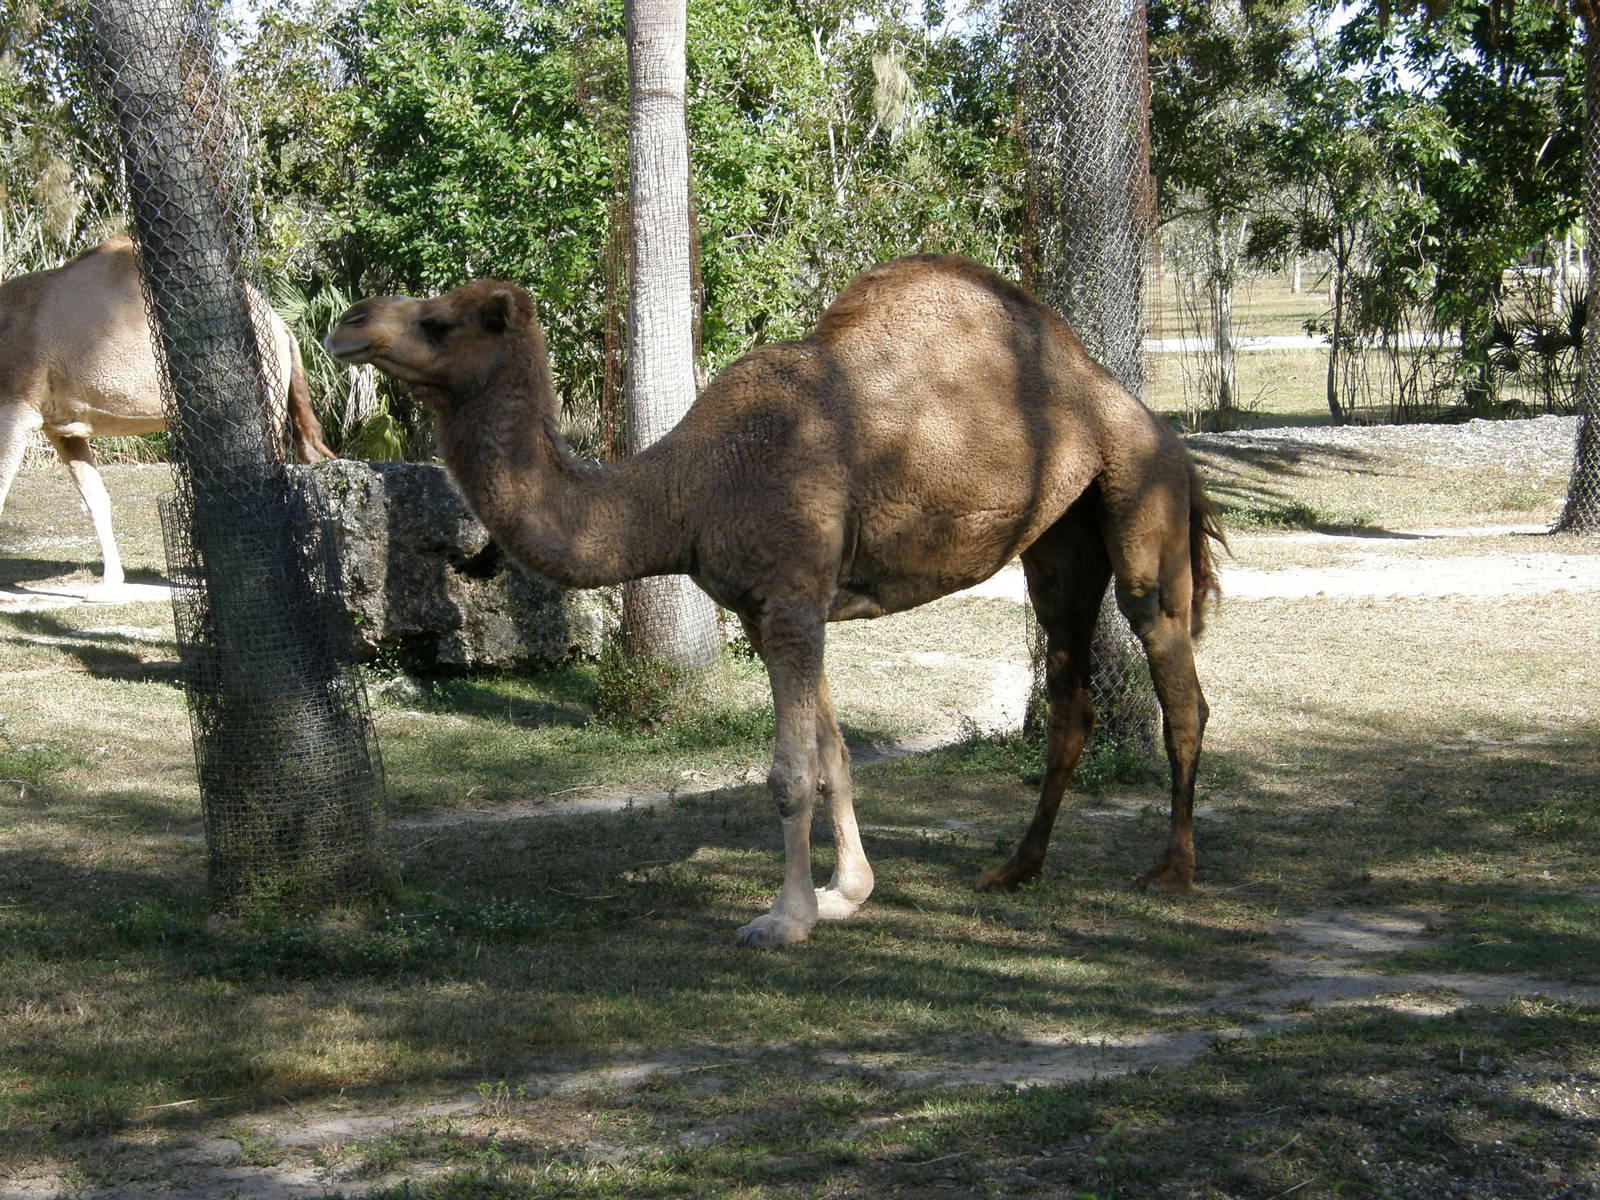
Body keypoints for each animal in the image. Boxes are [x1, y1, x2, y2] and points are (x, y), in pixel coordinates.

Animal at [326, 254, 1224, 948]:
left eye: (443, 321)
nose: (347, 321)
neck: (688, 489)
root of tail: (1153, 419)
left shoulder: (792, 596)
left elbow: (790, 773)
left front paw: (784, 919)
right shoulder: (769, 611)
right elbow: (832, 757)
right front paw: (847, 891)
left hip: (1140, 491)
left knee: (1177, 679)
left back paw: (1175, 870)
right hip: (1060, 542)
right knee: (1072, 687)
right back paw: (1015, 867)